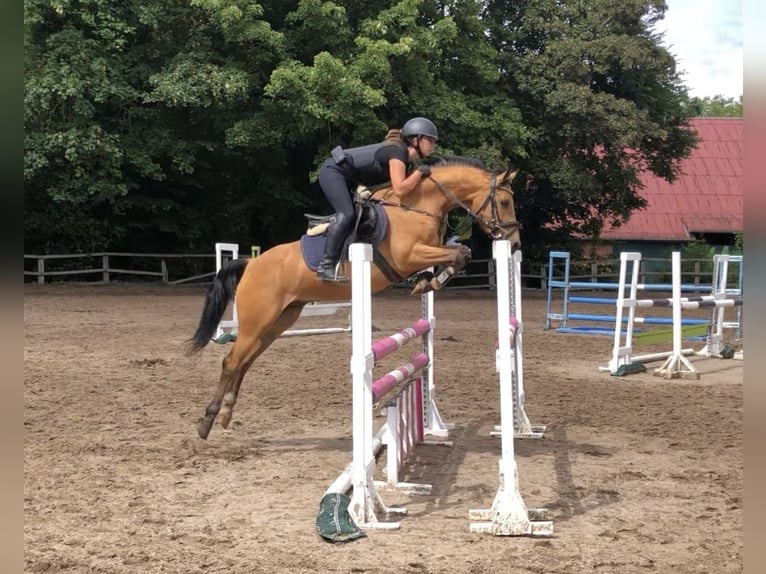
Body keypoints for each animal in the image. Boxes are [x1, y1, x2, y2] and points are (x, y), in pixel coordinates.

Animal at [186, 158, 520, 440]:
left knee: (245, 361)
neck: (417, 206)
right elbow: (460, 254)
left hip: (279, 321)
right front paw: (430, 281)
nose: (515, 244)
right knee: (231, 361)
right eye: (504, 202)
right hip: (258, 321)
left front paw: (429, 282)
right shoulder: (409, 256)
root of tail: (251, 264)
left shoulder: (427, 251)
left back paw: (226, 415)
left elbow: (460, 253)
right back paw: (206, 422)